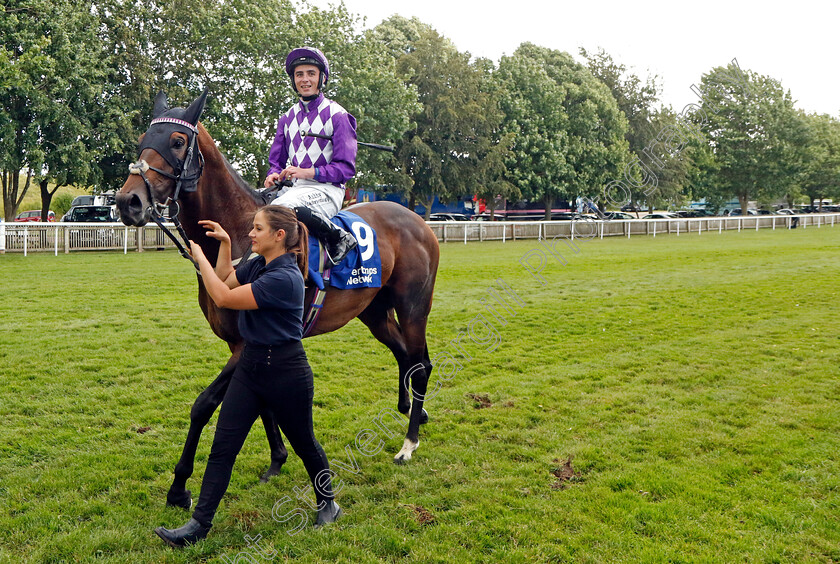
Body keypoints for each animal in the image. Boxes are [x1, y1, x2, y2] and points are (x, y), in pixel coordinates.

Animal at [116, 90, 440, 508]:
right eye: (143, 140)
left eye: (176, 141)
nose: (128, 201)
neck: (238, 236)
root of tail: (418, 221)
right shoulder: (246, 341)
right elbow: (263, 401)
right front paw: (277, 460)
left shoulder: (244, 344)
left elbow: (203, 405)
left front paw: (179, 486)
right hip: (373, 311)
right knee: (404, 356)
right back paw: (411, 412)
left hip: (413, 307)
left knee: (422, 362)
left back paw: (408, 443)